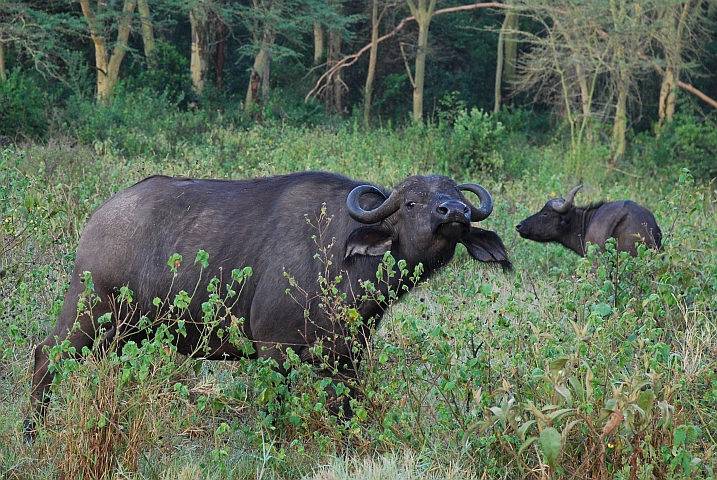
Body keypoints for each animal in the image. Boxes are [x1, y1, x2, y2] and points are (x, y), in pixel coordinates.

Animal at [26, 172, 510, 438]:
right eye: (412, 202)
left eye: (458, 198)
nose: (455, 213)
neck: (337, 258)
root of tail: (100, 216)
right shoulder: (274, 351)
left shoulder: (346, 359)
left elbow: (346, 411)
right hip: (87, 308)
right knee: (46, 354)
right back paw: (33, 431)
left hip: (126, 328)